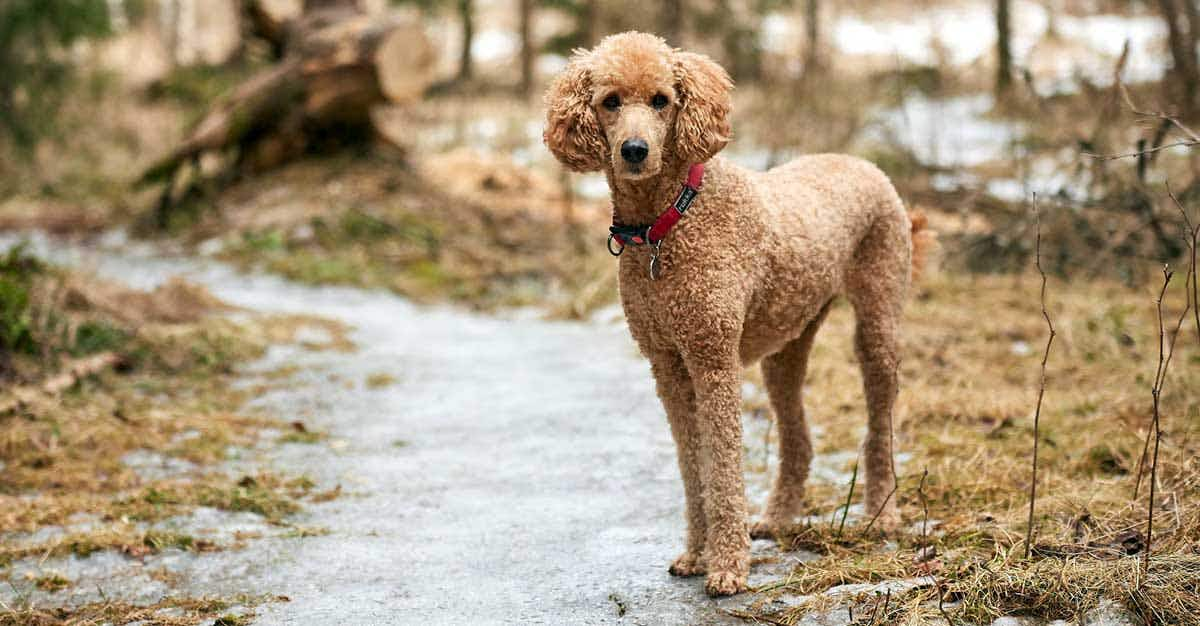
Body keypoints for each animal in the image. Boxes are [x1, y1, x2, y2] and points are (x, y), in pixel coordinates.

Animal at [544, 30, 926, 594]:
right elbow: (692, 464)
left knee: (880, 426)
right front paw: (695, 554)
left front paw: (727, 567)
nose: (634, 151)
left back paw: (882, 514)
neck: (669, 221)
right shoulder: (668, 366)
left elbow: (722, 465)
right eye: (610, 101)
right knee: (798, 439)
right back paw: (778, 517)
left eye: (662, 100)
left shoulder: (713, 360)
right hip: (787, 344)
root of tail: (864, 164)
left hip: (877, 322)